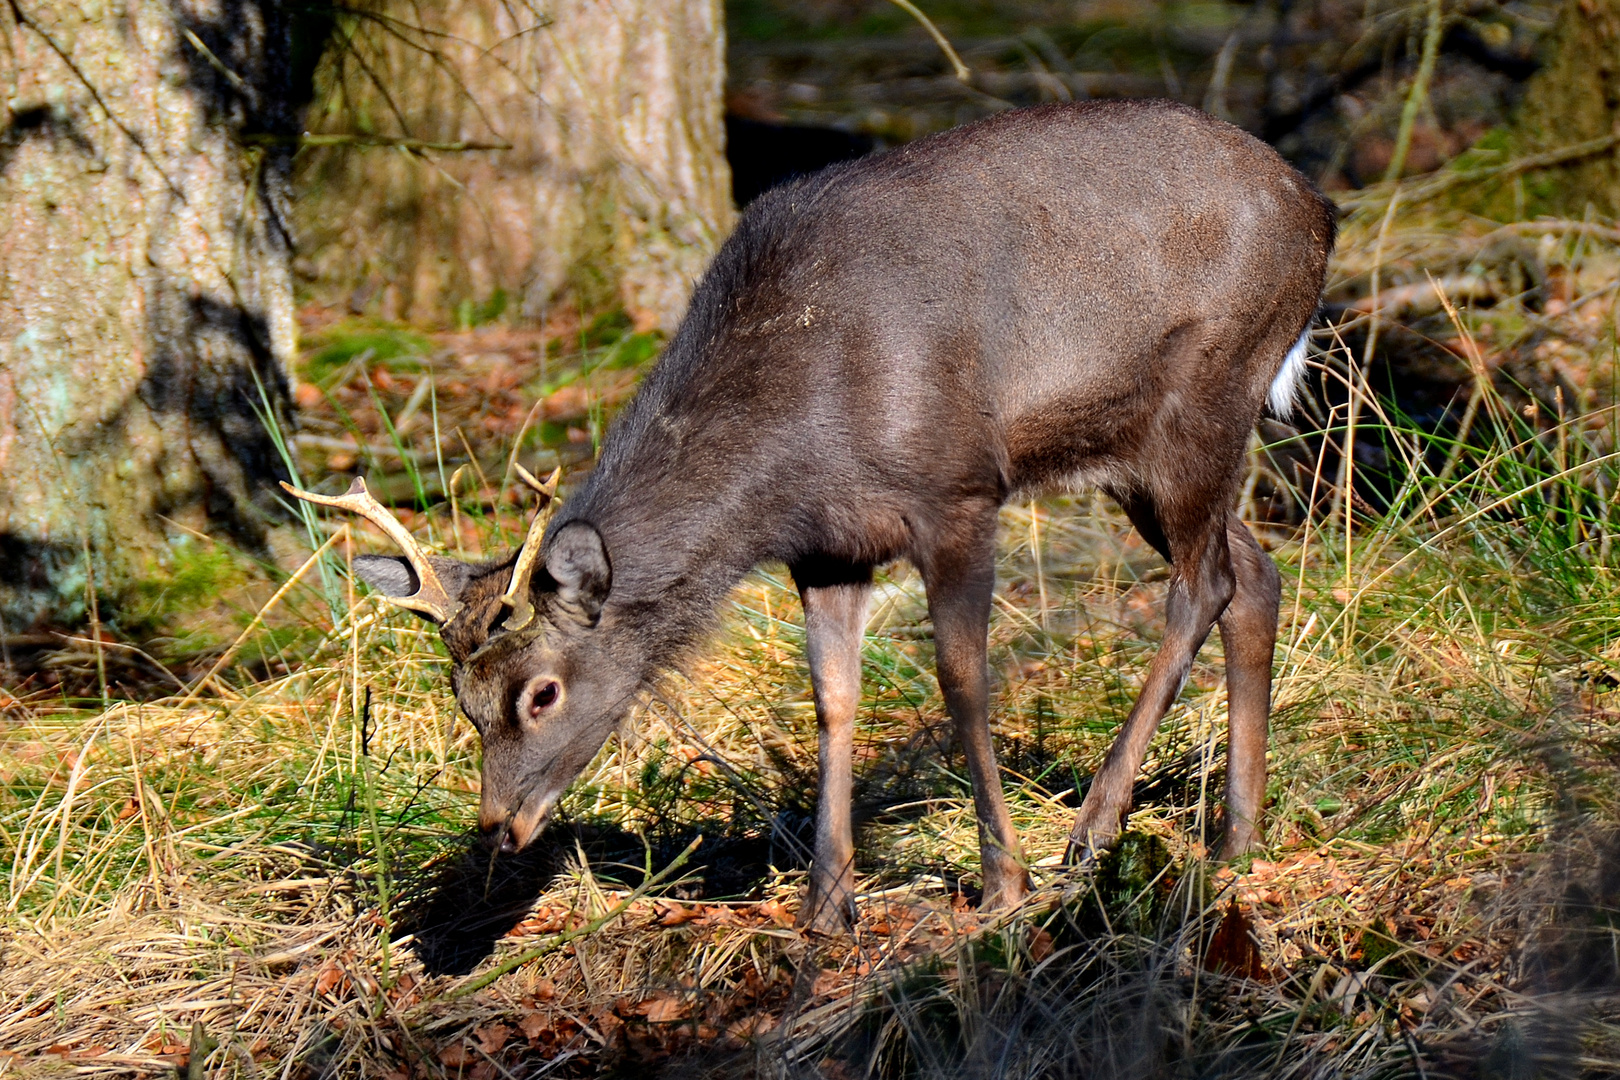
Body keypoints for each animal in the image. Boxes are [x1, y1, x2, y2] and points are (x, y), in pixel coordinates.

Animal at [285, 99, 1334, 939]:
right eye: (461, 699)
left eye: (540, 692)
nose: (500, 825)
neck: (792, 444)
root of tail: (1319, 208)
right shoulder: (829, 548)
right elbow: (833, 696)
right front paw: (827, 904)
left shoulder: (955, 492)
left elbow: (963, 678)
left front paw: (1000, 882)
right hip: (1137, 455)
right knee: (1255, 574)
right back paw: (1237, 837)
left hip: (1199, 399)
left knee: (1204, 583)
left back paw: (1097, 827)